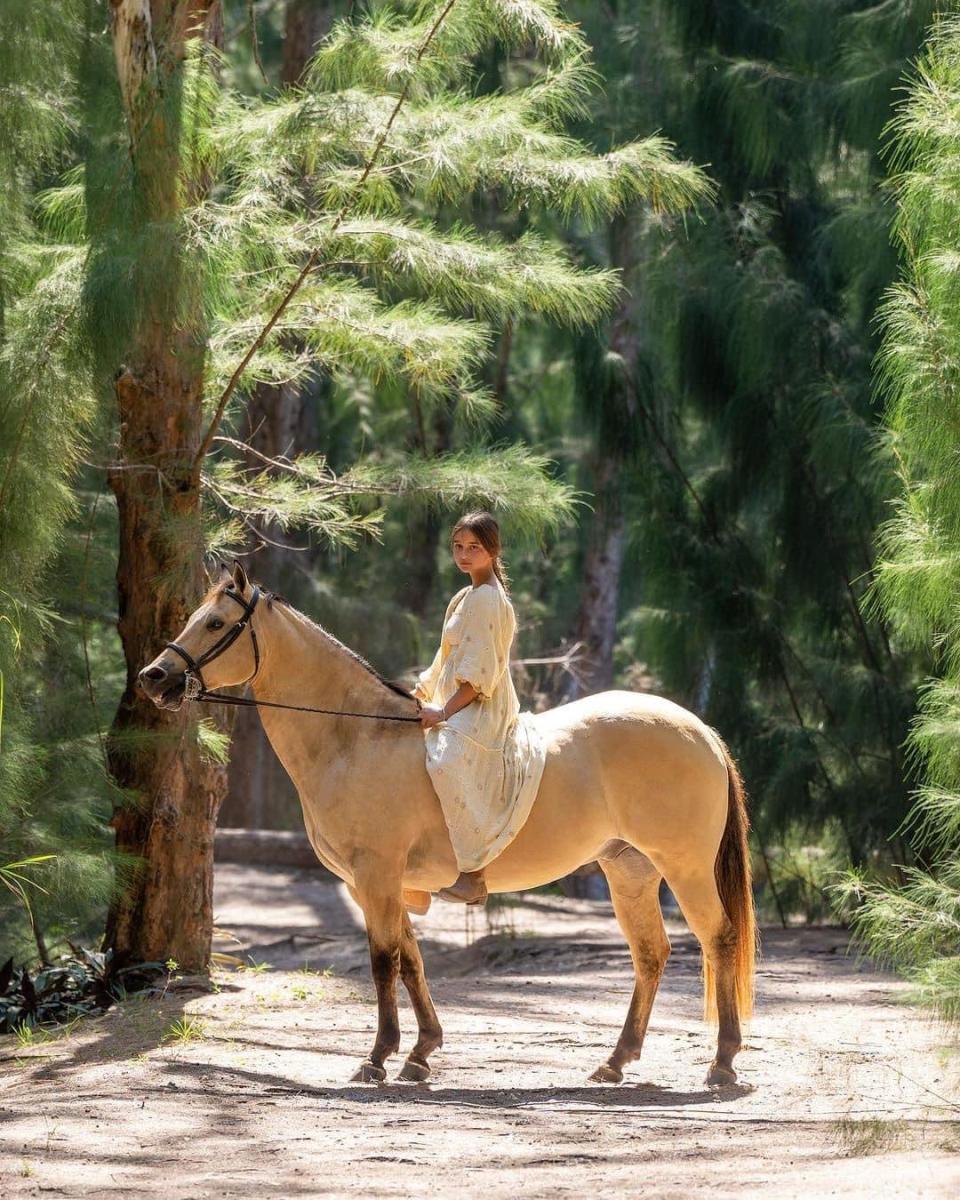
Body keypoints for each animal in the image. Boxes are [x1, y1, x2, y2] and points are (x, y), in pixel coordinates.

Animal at [138, 561, 758, 1089]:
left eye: (216, 622)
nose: (153, 676)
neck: (357, 738)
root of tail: (700, 729)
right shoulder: (380, 886)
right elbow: (411, 960)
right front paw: (420, 1052)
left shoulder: (376, 877)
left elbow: (383, 961)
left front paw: (378, 1057)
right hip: (629, 872)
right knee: (651, 954)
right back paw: (616, 1061)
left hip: (684, 868)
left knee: (719, 938)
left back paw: (723, 1063)